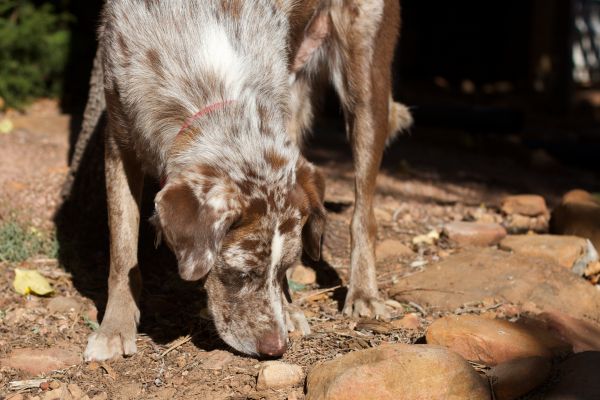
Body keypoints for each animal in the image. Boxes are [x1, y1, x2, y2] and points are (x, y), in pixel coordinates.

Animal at [83, 0, 412, 362]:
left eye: (279, 270)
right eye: (241, 274)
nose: (276, 348)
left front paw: (289, 307)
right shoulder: (119, 136)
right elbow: (122, 250)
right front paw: (114, 327)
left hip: (364, 76)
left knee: (363, 212)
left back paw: (363, 292)